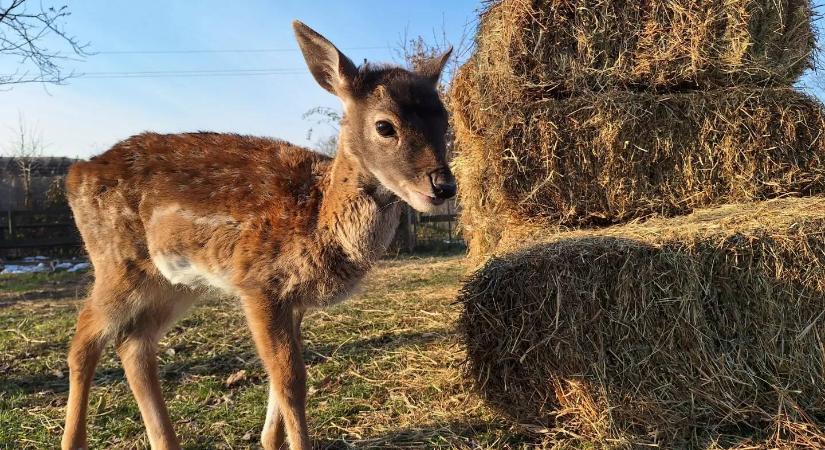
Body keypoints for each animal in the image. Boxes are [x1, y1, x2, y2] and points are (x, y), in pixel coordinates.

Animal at [61, 21, 454, 450]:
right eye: (385, 126)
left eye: (445, 121)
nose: (443, 186)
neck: (317, 219)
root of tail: (73, 177)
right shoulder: (259, 283)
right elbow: (291, 381)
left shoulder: (293, 301)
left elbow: (280, 384)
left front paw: (270, 438)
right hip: (116, 262)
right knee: (83, 340)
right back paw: (73, 441)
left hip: (175, 283)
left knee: (133, 343)